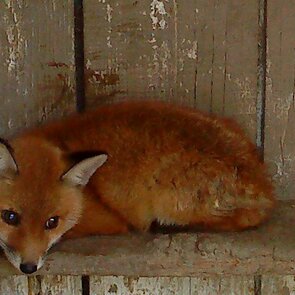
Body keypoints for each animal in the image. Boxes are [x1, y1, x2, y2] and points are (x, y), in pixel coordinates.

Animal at [0, 102, 276, 276]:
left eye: (52, 222)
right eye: (10, 217)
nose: (28, 268)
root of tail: (262, 180)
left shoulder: (105, 220)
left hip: (167, 200)